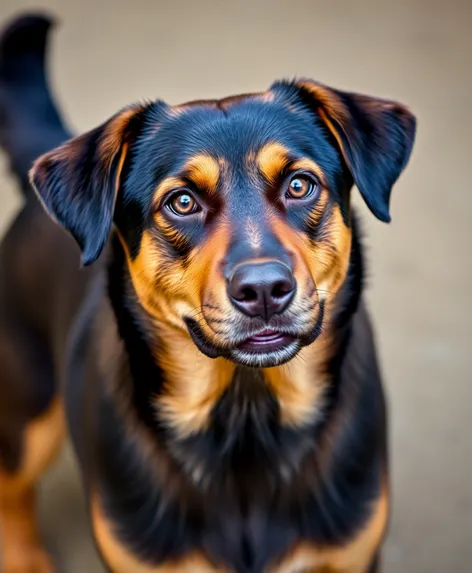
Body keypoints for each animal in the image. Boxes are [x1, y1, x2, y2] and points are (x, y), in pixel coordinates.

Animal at [0, 13, 414, 572]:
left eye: (300, 185)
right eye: (181, 202)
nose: (264, 290)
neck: (247, 419)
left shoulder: (351, 555)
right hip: (27, 410)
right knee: (12, 490)